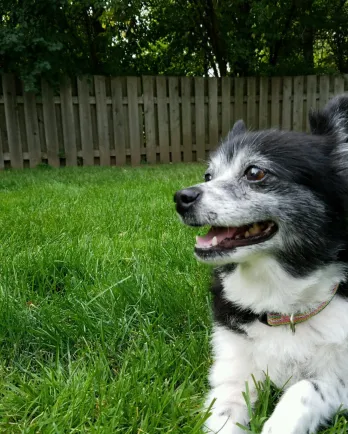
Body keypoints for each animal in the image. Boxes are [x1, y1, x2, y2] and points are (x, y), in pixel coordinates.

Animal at [174, 96, 348, 434]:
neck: (280, 301)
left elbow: (306, 388)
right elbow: (225, 412)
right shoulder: (232, 372)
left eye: (255, 172)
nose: (180, 197)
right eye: (208, 176)